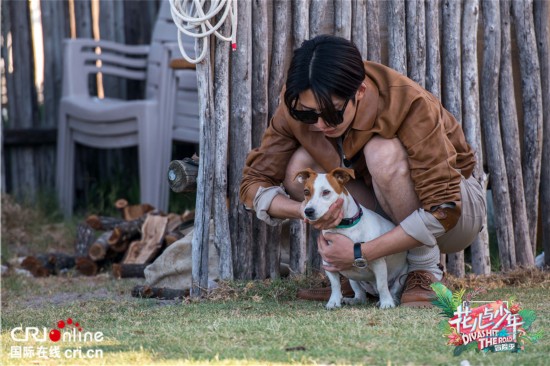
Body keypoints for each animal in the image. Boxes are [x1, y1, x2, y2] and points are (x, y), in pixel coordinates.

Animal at [298, 168, 410, 308]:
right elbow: (335, 285)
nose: (308, 211)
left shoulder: (378, 262)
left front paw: (386, 303)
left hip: (402, 275)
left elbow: (382, 285)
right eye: (306, 192)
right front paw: (333, 301)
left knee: (392, 289)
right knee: (360, 295)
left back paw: (392, 299)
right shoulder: (328, 263)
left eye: (326, 192)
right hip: (353, 279)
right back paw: (353, 300)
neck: (342, 228)